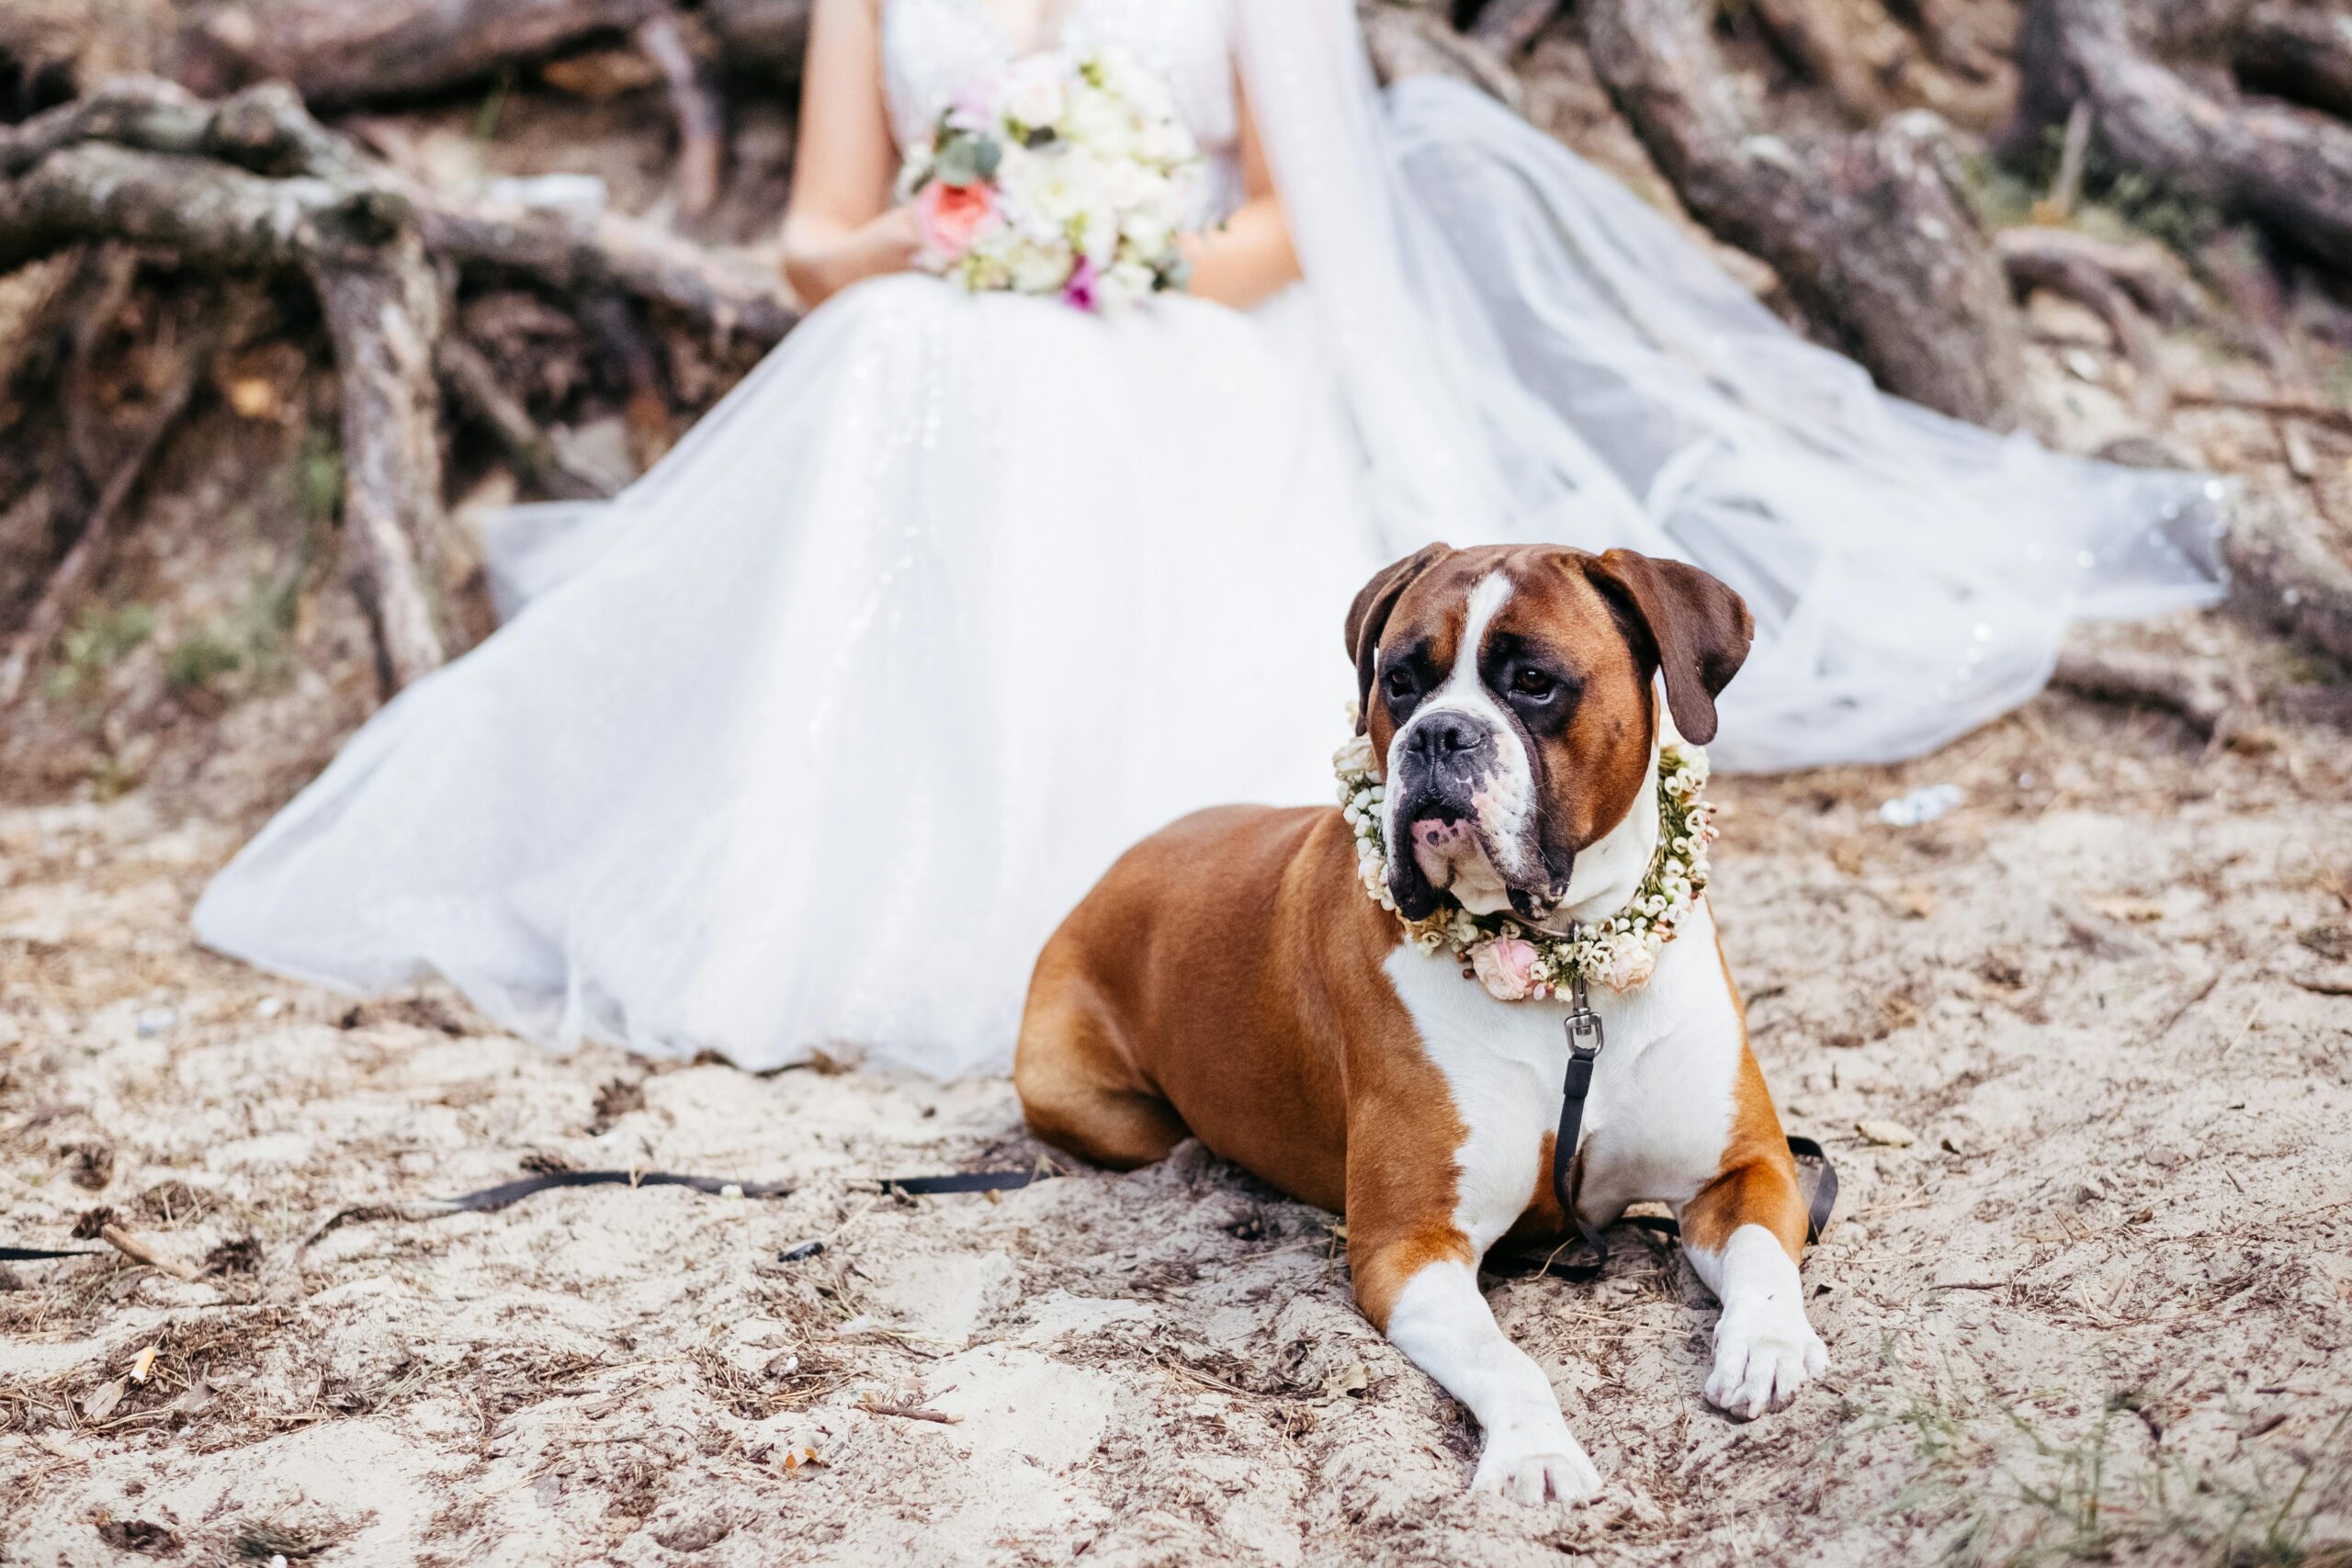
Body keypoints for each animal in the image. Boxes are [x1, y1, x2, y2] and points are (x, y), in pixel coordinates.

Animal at [1011, 543, 1815, 1504]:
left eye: (1534, 682)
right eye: (1399, 682)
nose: (1439, 735)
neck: (1569, 974)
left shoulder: (1746, 1170)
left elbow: (1764, 1260)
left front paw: (1768, 1344)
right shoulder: (1410, 1248)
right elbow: (1509, 1361)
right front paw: (1535, 1452)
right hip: (1095, 1104)